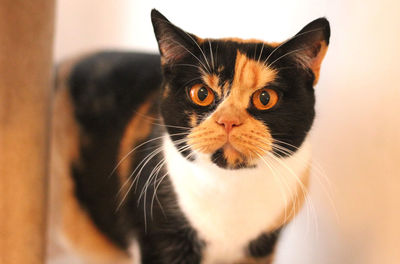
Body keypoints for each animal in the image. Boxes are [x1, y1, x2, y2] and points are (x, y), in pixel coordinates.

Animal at [50, 8, 330, 264]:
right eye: (201, 93)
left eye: (265, 98)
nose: (228, 121)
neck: (230, 188)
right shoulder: (161, 236)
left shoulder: (261, 250)